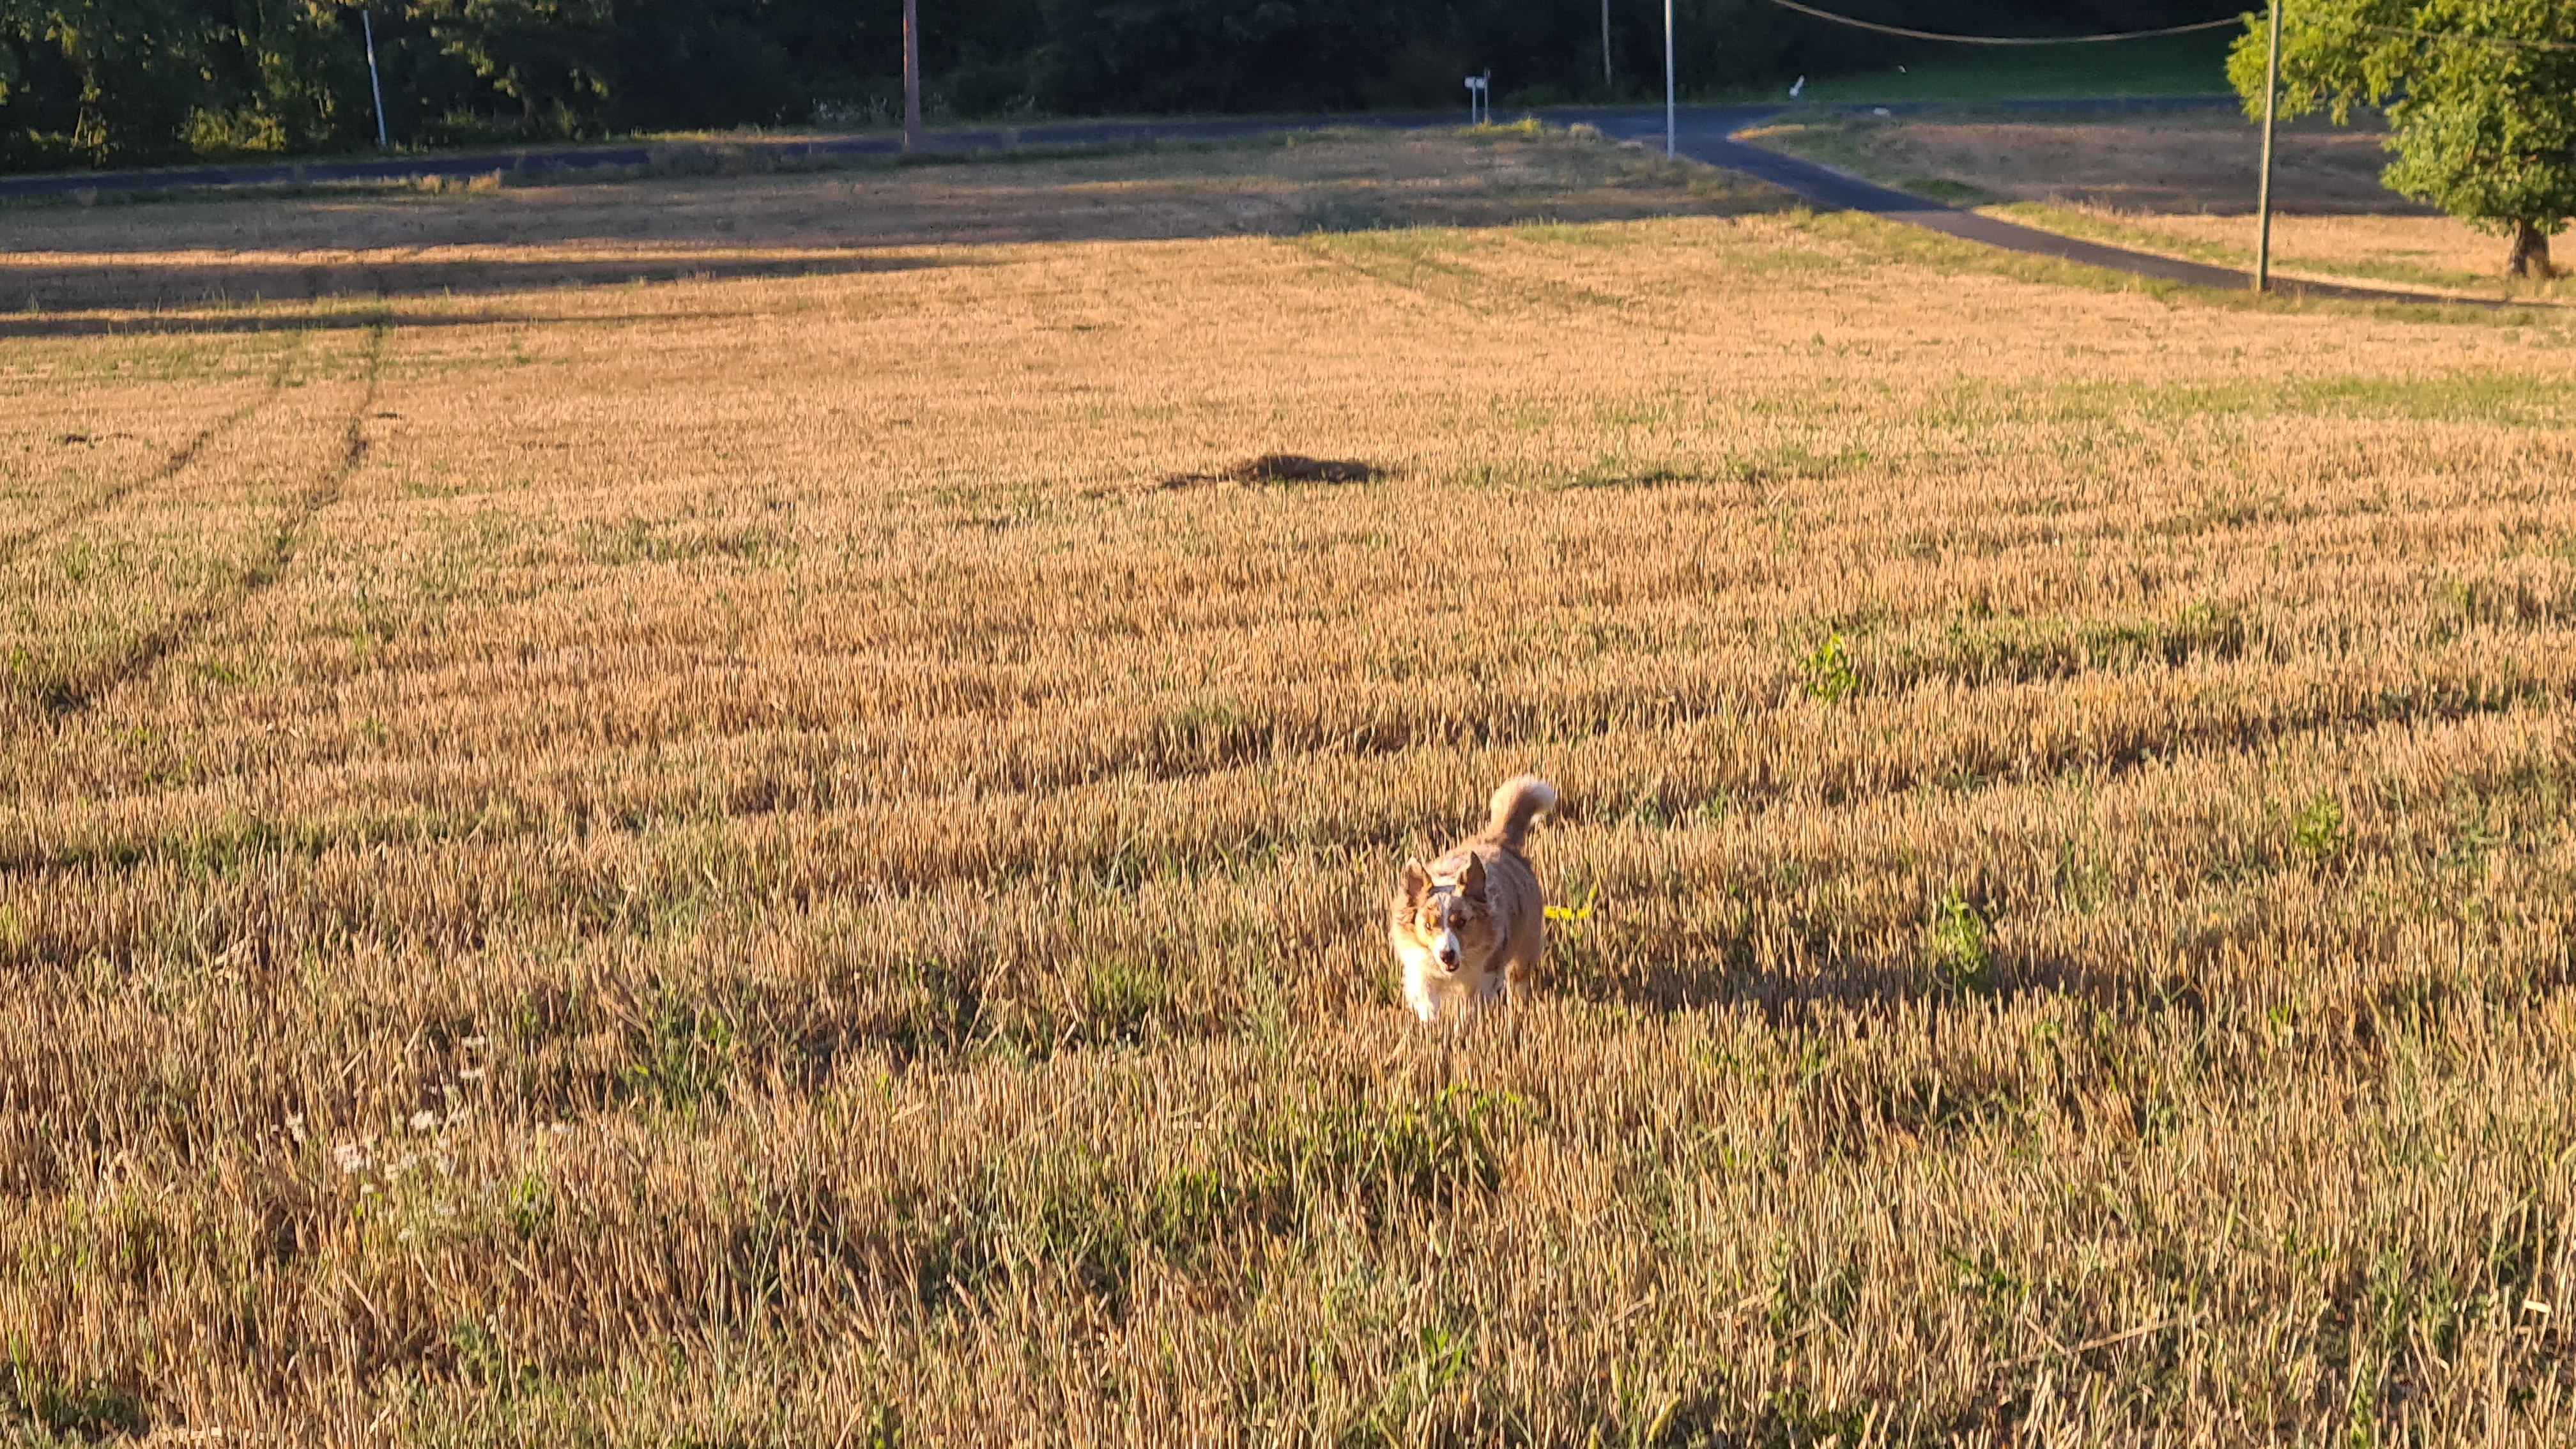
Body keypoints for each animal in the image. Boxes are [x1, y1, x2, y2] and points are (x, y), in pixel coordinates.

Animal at [1388, 775, 1557, 1023]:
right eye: (1427, 926)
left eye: (1461, 922)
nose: (1447, 955)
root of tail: (1497, 841)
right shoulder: (1420, 968)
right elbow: (1428, 1001)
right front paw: (1431, 1025)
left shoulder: (1484, 973)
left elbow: (1471, 1008)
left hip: (1526, 945)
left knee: (1519, 980)